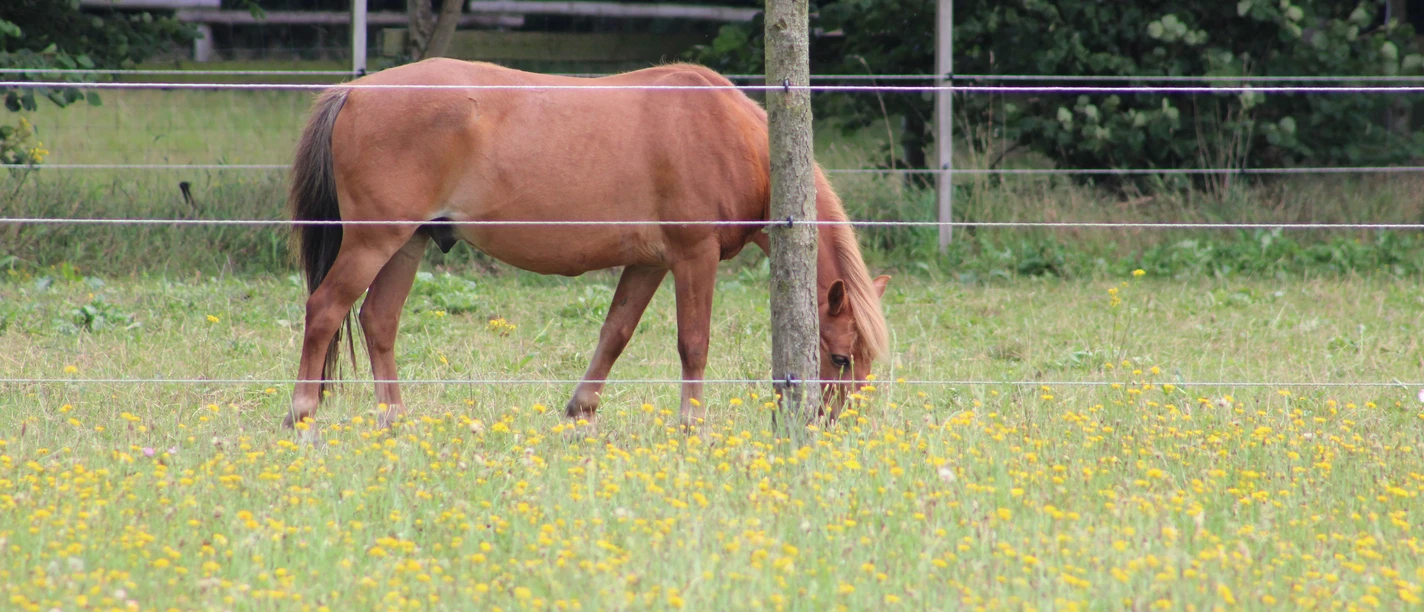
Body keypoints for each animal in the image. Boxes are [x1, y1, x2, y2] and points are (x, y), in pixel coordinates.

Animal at [283, 58, 890, 430]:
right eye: (840, 356)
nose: (840, 425)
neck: (726, 134)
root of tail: (354, 90)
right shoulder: (694, 257)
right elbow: (693, 343)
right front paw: (692, 423)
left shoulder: (649, 265)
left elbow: (615, 333)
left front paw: (582, 408)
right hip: (373, 241)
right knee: (325, 309)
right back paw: (302, 413)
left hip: (406, 245)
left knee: (378, 321)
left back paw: (395, 419)